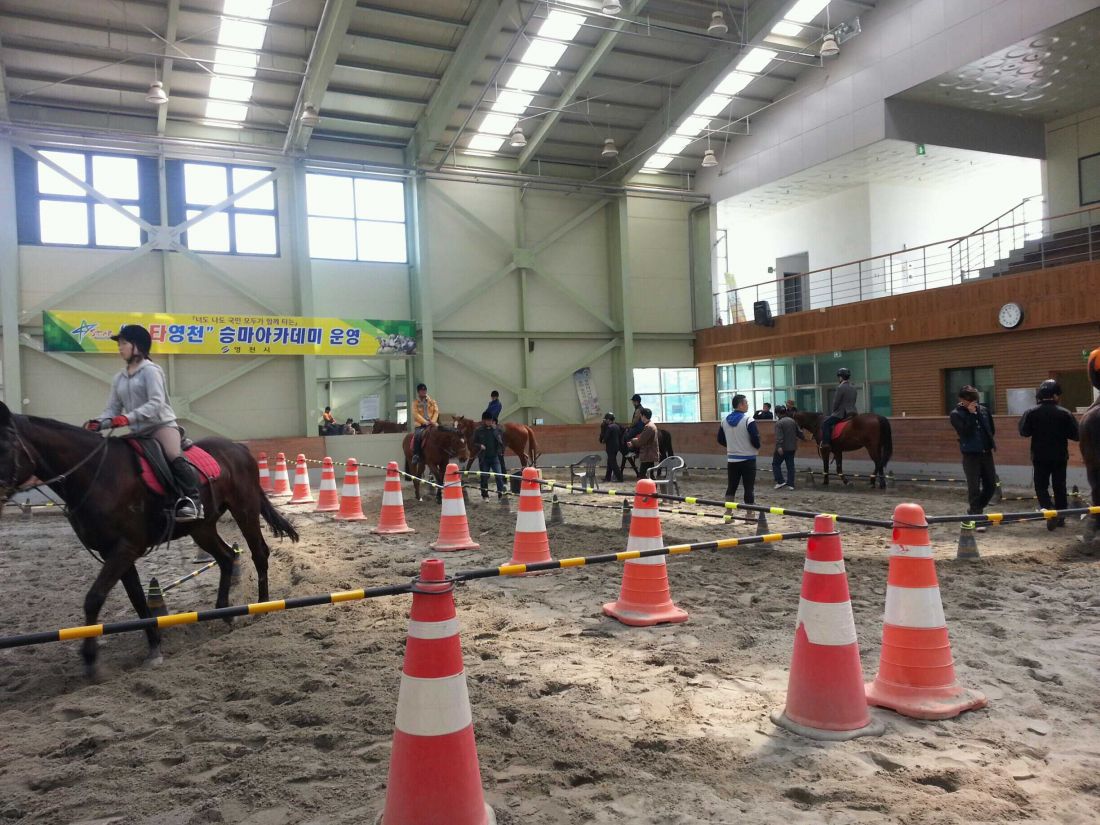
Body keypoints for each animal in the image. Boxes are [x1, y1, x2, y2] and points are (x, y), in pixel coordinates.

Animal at [0, 402, 299, 677]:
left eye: (4, 447)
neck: (97, 474)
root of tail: (240, 449)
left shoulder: (125, 548)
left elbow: (94, 598)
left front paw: (91, 660)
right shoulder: (116, 553)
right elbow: (137, 599)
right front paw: (154, 646)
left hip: (244, 509)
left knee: (258, 552)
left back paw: (261, 608)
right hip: (201, 528)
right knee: (226, 557)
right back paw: (224, 613)